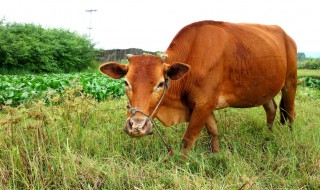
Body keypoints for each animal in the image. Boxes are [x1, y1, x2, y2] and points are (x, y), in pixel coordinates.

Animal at [100, 20, 298, 154]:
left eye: (161, 83)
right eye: (126, 82)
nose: (136, 126)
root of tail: (287, 36)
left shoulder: (204, 104)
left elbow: (188, 139)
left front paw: (181, 163)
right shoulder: (202, 105)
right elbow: (213, 131)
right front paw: (216, 154)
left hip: (290, 82)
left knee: (290, 112)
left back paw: (290, 136)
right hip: (265, 91)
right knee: (271, 109)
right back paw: (268, 134)